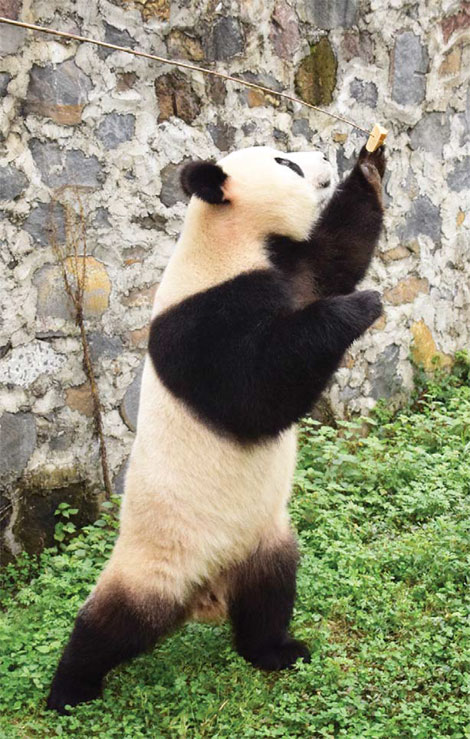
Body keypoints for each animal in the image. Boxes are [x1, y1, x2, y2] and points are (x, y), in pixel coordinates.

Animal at [47, 142, 385, 713]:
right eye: (284, 163)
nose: (321, 155)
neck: (229, 242)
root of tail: (205, 593)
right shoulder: (201, 320)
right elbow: (253, 393)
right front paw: (359, 307)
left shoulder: (288, 267)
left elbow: (338, 254)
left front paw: (371, 167)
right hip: (161, 558)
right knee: (113, 623)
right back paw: (69, 690)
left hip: (264, 540)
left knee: (270, 595)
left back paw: (277, 651)